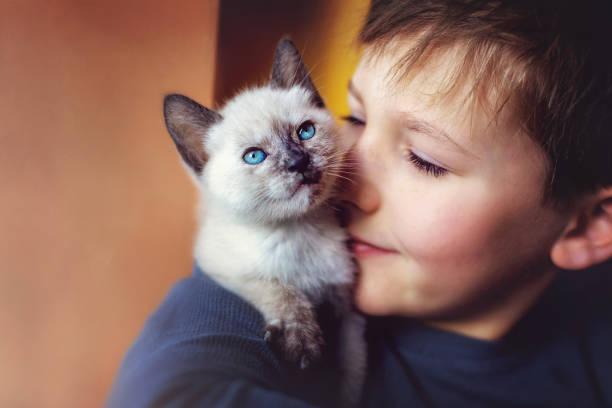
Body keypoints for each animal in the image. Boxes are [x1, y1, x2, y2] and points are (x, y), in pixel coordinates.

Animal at [163, 38, 366, 404]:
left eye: (306, 131)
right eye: (255, 156)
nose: (298, 162)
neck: (298, 231)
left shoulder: (348, 315)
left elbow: (349, 385)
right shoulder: (219, 266)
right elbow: (274, 286)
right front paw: (301, 340)